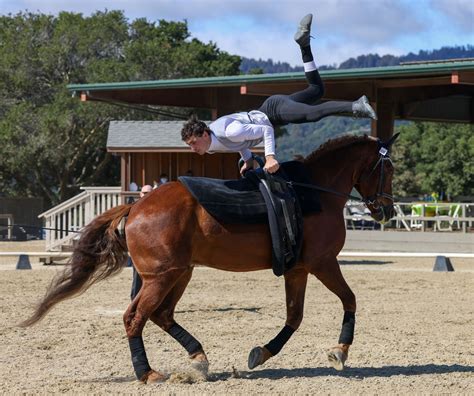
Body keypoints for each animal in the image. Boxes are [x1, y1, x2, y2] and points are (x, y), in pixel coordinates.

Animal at [23, 133, 400, 384]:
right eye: (390, 168)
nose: (387, 210)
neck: (315, 192)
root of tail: (136, 206)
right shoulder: (323, 263)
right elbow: (350, 300)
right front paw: (341, 351)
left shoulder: (299, 269)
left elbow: (294, 317)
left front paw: (262, 352)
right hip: (162, 277)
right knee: (135, 317)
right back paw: (148, 373)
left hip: (180, 273)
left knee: (161, 314)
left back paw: (198, 358)